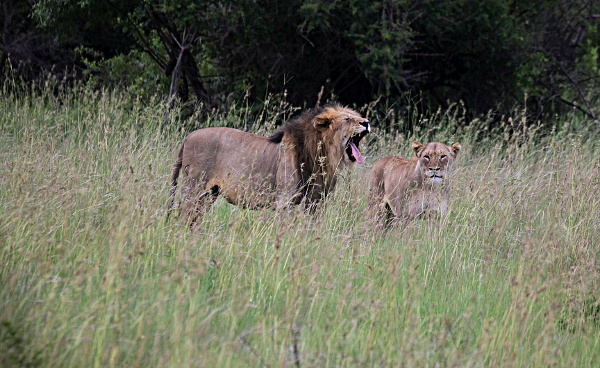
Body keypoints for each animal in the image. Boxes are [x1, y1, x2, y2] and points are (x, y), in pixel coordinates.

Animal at [166, 105, 368, 223]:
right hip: (194, 188)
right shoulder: (284, 200)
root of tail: (188, 136)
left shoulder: (315, 202)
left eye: (357, 116)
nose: (366, 122)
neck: (321, 155)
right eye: (348, 119)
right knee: (182, 216)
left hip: (209, 194)